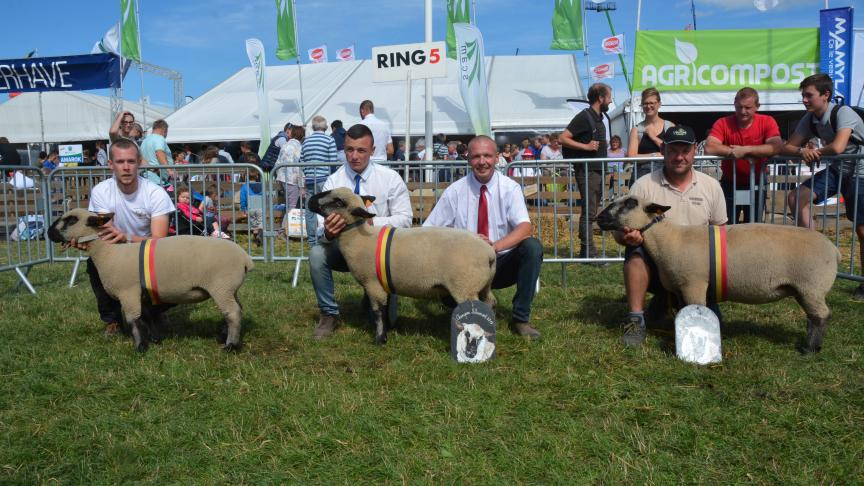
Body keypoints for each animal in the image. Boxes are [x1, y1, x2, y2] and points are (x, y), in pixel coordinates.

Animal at [49, 207, 253, 352]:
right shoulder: (141, 293)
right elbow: (146, 318)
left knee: (232, 312)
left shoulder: (128, 292)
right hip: (230, 289)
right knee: (238, 309)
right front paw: (155, 340)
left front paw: (140, 347)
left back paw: (231, 346)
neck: (108, 253)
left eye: (71, 220)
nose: (49, 232)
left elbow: (134, 320)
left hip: (221, 287)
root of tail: (245, 258)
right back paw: (224, 336)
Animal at [596, 195, 840, 354]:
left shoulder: (693, 283)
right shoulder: (680, 287)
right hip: (805, 289)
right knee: (814, 315)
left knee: (821, 315)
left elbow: (694, 310)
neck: (669, 239)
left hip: (811, 285)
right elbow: (682, 312)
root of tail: (834, 249)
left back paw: (810, 349)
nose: (598, 218)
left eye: (630, 203)